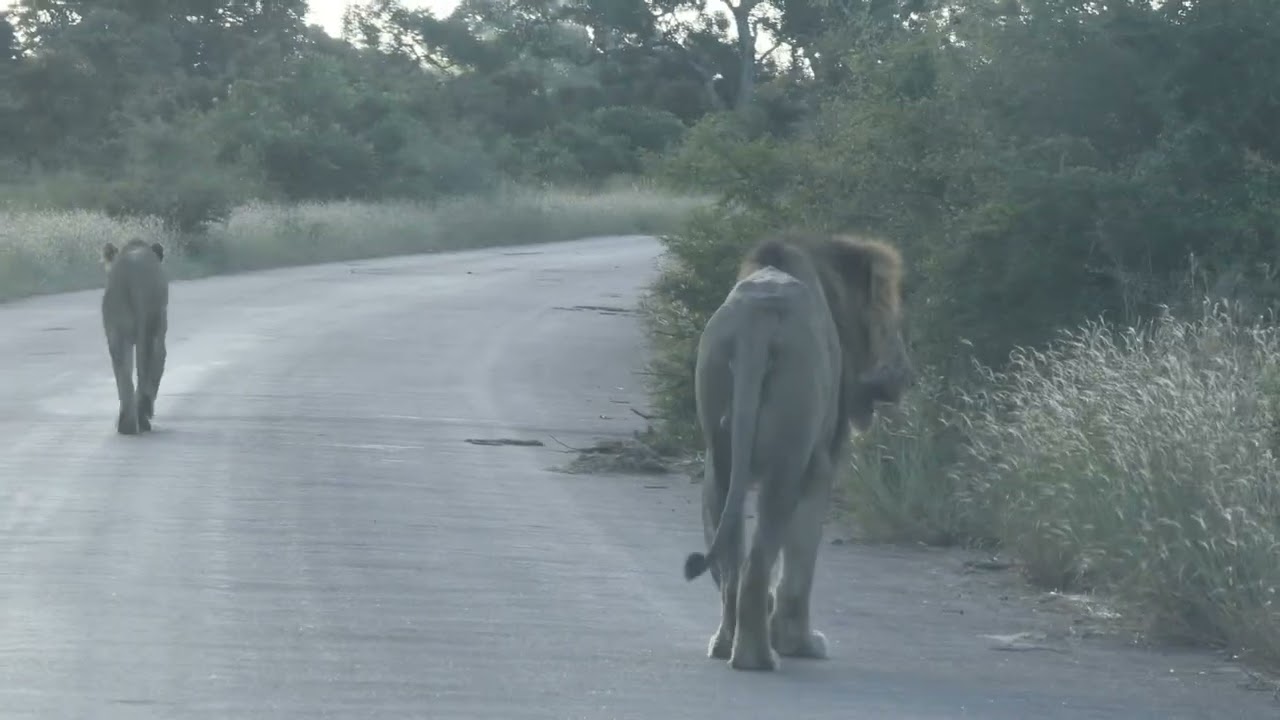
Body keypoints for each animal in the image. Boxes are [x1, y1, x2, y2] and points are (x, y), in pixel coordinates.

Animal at [100, 238, 169, 435]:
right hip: (150, 327)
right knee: (148, 365)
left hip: (116, 329)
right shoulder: (159, 330)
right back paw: (141, 418)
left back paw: (126, 425)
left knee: (122, 370)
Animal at [682, 230, 912, 671]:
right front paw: (800, 642)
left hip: (719, 458)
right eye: (890, 318)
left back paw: (724, 643)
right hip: (788, 460)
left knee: (731, 561)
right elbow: (800, 565)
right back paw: (756, 656)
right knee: (757, 561)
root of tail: (755, 321)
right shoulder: (822, 462)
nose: (905, 373)